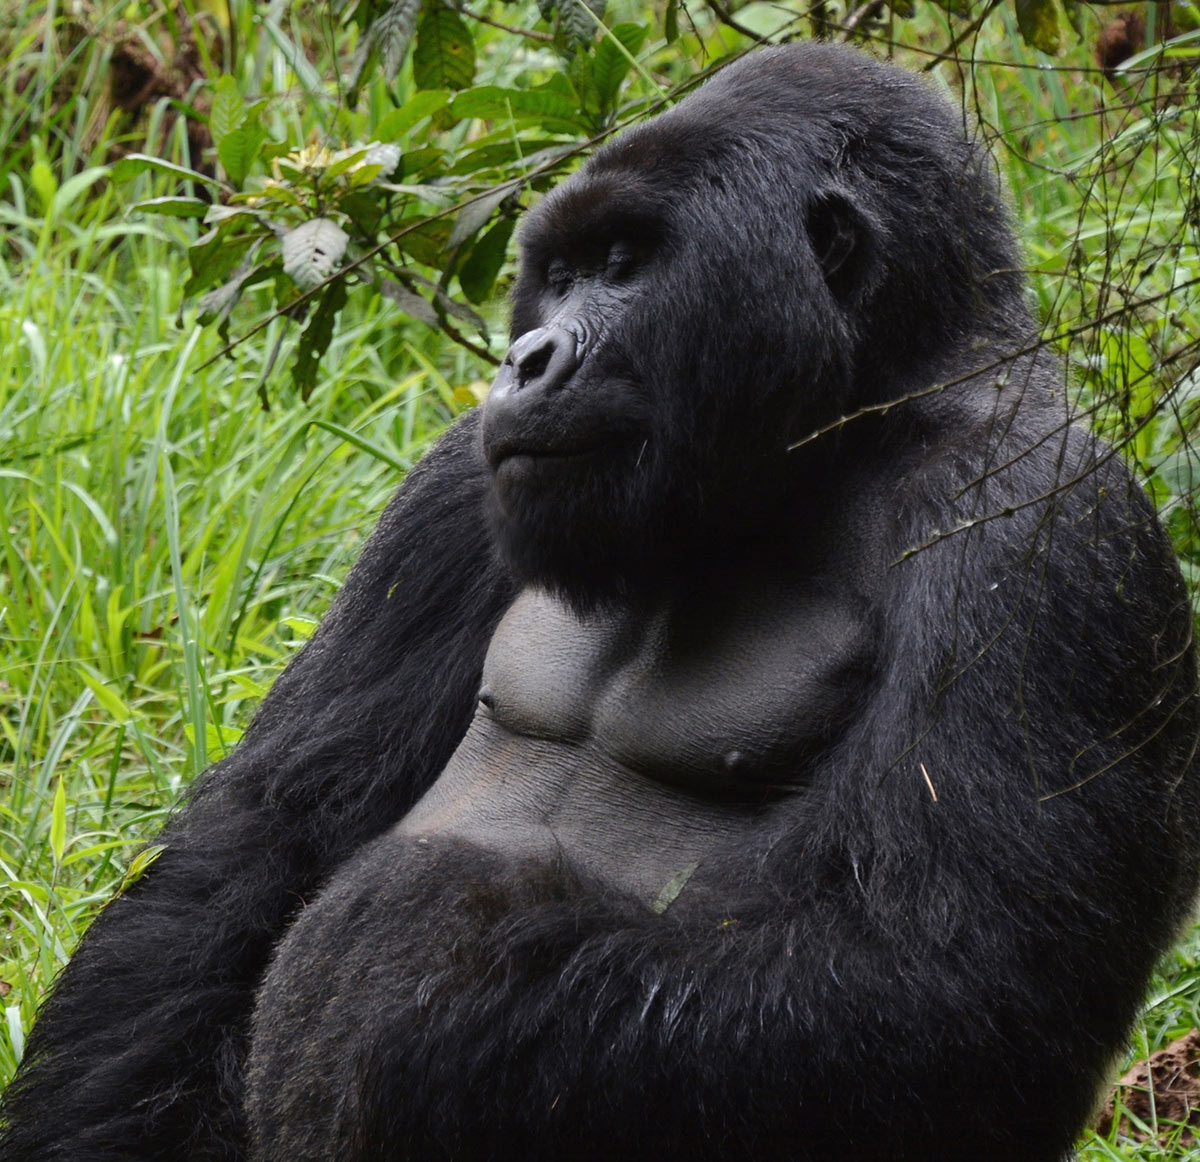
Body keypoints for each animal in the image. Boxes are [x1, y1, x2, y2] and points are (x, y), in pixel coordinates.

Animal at [2, 36, 1200, 1162]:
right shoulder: (453, 487)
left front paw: (394, 963)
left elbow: (942, 981)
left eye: (625, 264)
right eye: (563, 270)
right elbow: (256, 839)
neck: (862, 414)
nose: (525, 360)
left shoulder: (1039, 524)